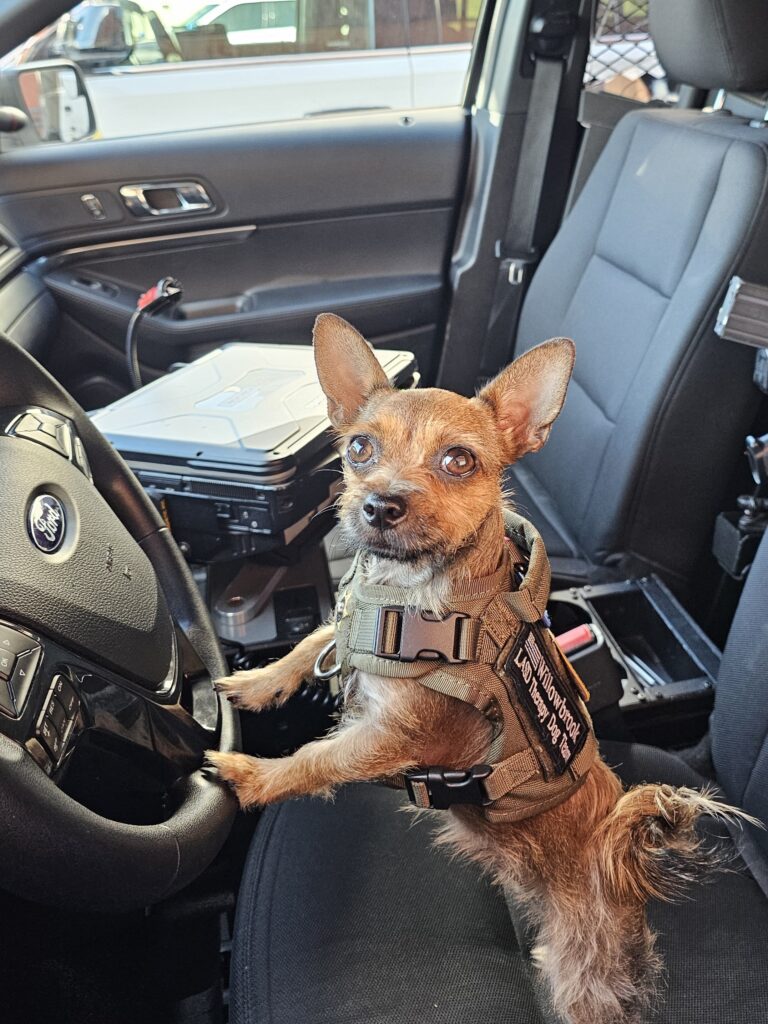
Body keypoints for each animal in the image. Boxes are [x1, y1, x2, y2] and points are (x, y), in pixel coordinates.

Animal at [208, 313, 750, 1024]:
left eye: (459, 460)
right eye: (359, 449)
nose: (379, 504)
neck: (407, 600)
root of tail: (620, 865)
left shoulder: (392, 737)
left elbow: (313, 762)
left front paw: (248, 775)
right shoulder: (352, 621)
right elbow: (314, 640)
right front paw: (254, 683)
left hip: (586, 969)